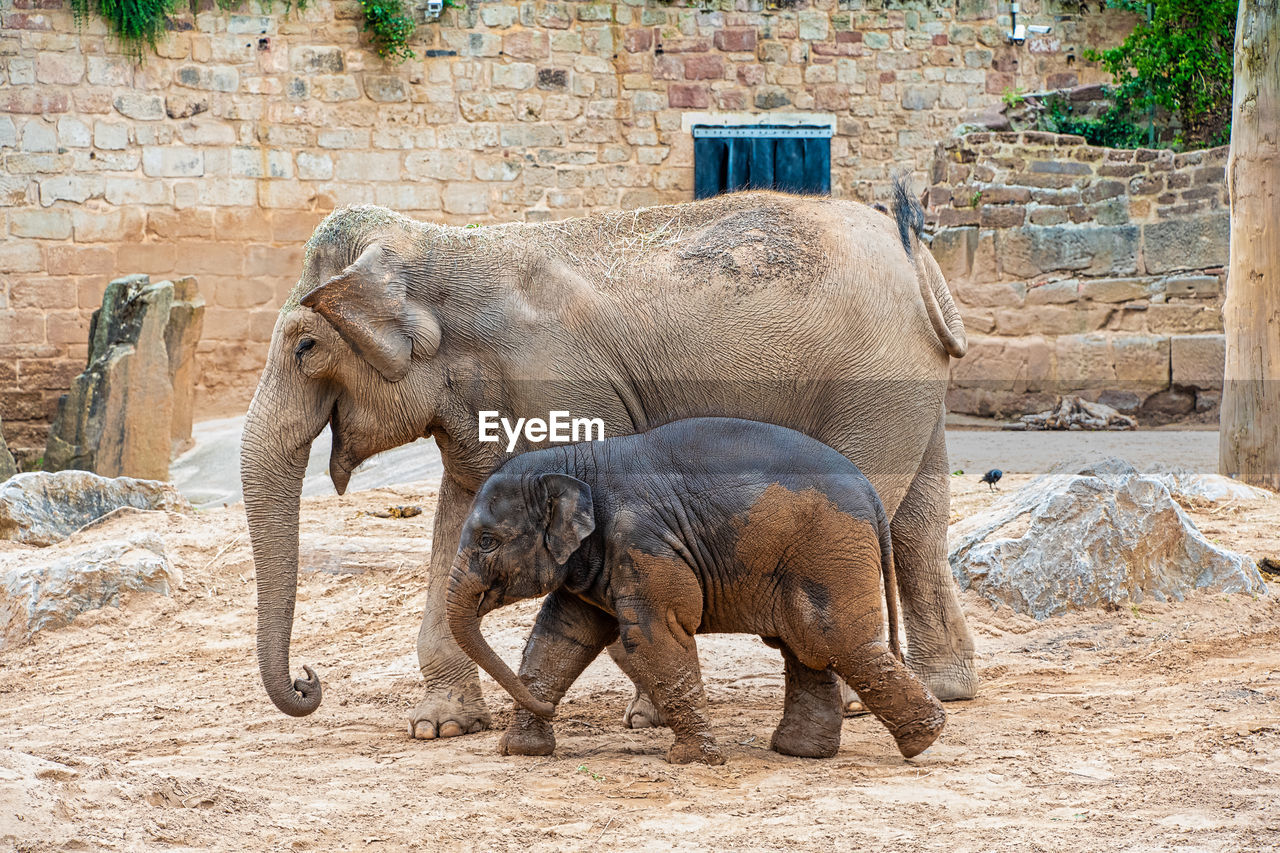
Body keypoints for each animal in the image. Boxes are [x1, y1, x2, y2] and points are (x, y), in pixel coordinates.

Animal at [445, 414, 947, 758]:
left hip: (827, 552)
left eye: (487, 541)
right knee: (805, 647)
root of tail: (871, 493)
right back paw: (802, 753)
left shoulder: (643, 544)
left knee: (835, 642)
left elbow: (657, 634)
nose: (555, 714)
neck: (573, 462)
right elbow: (562, 637)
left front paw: (693, 760)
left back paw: (924, 741)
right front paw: (521, 752)